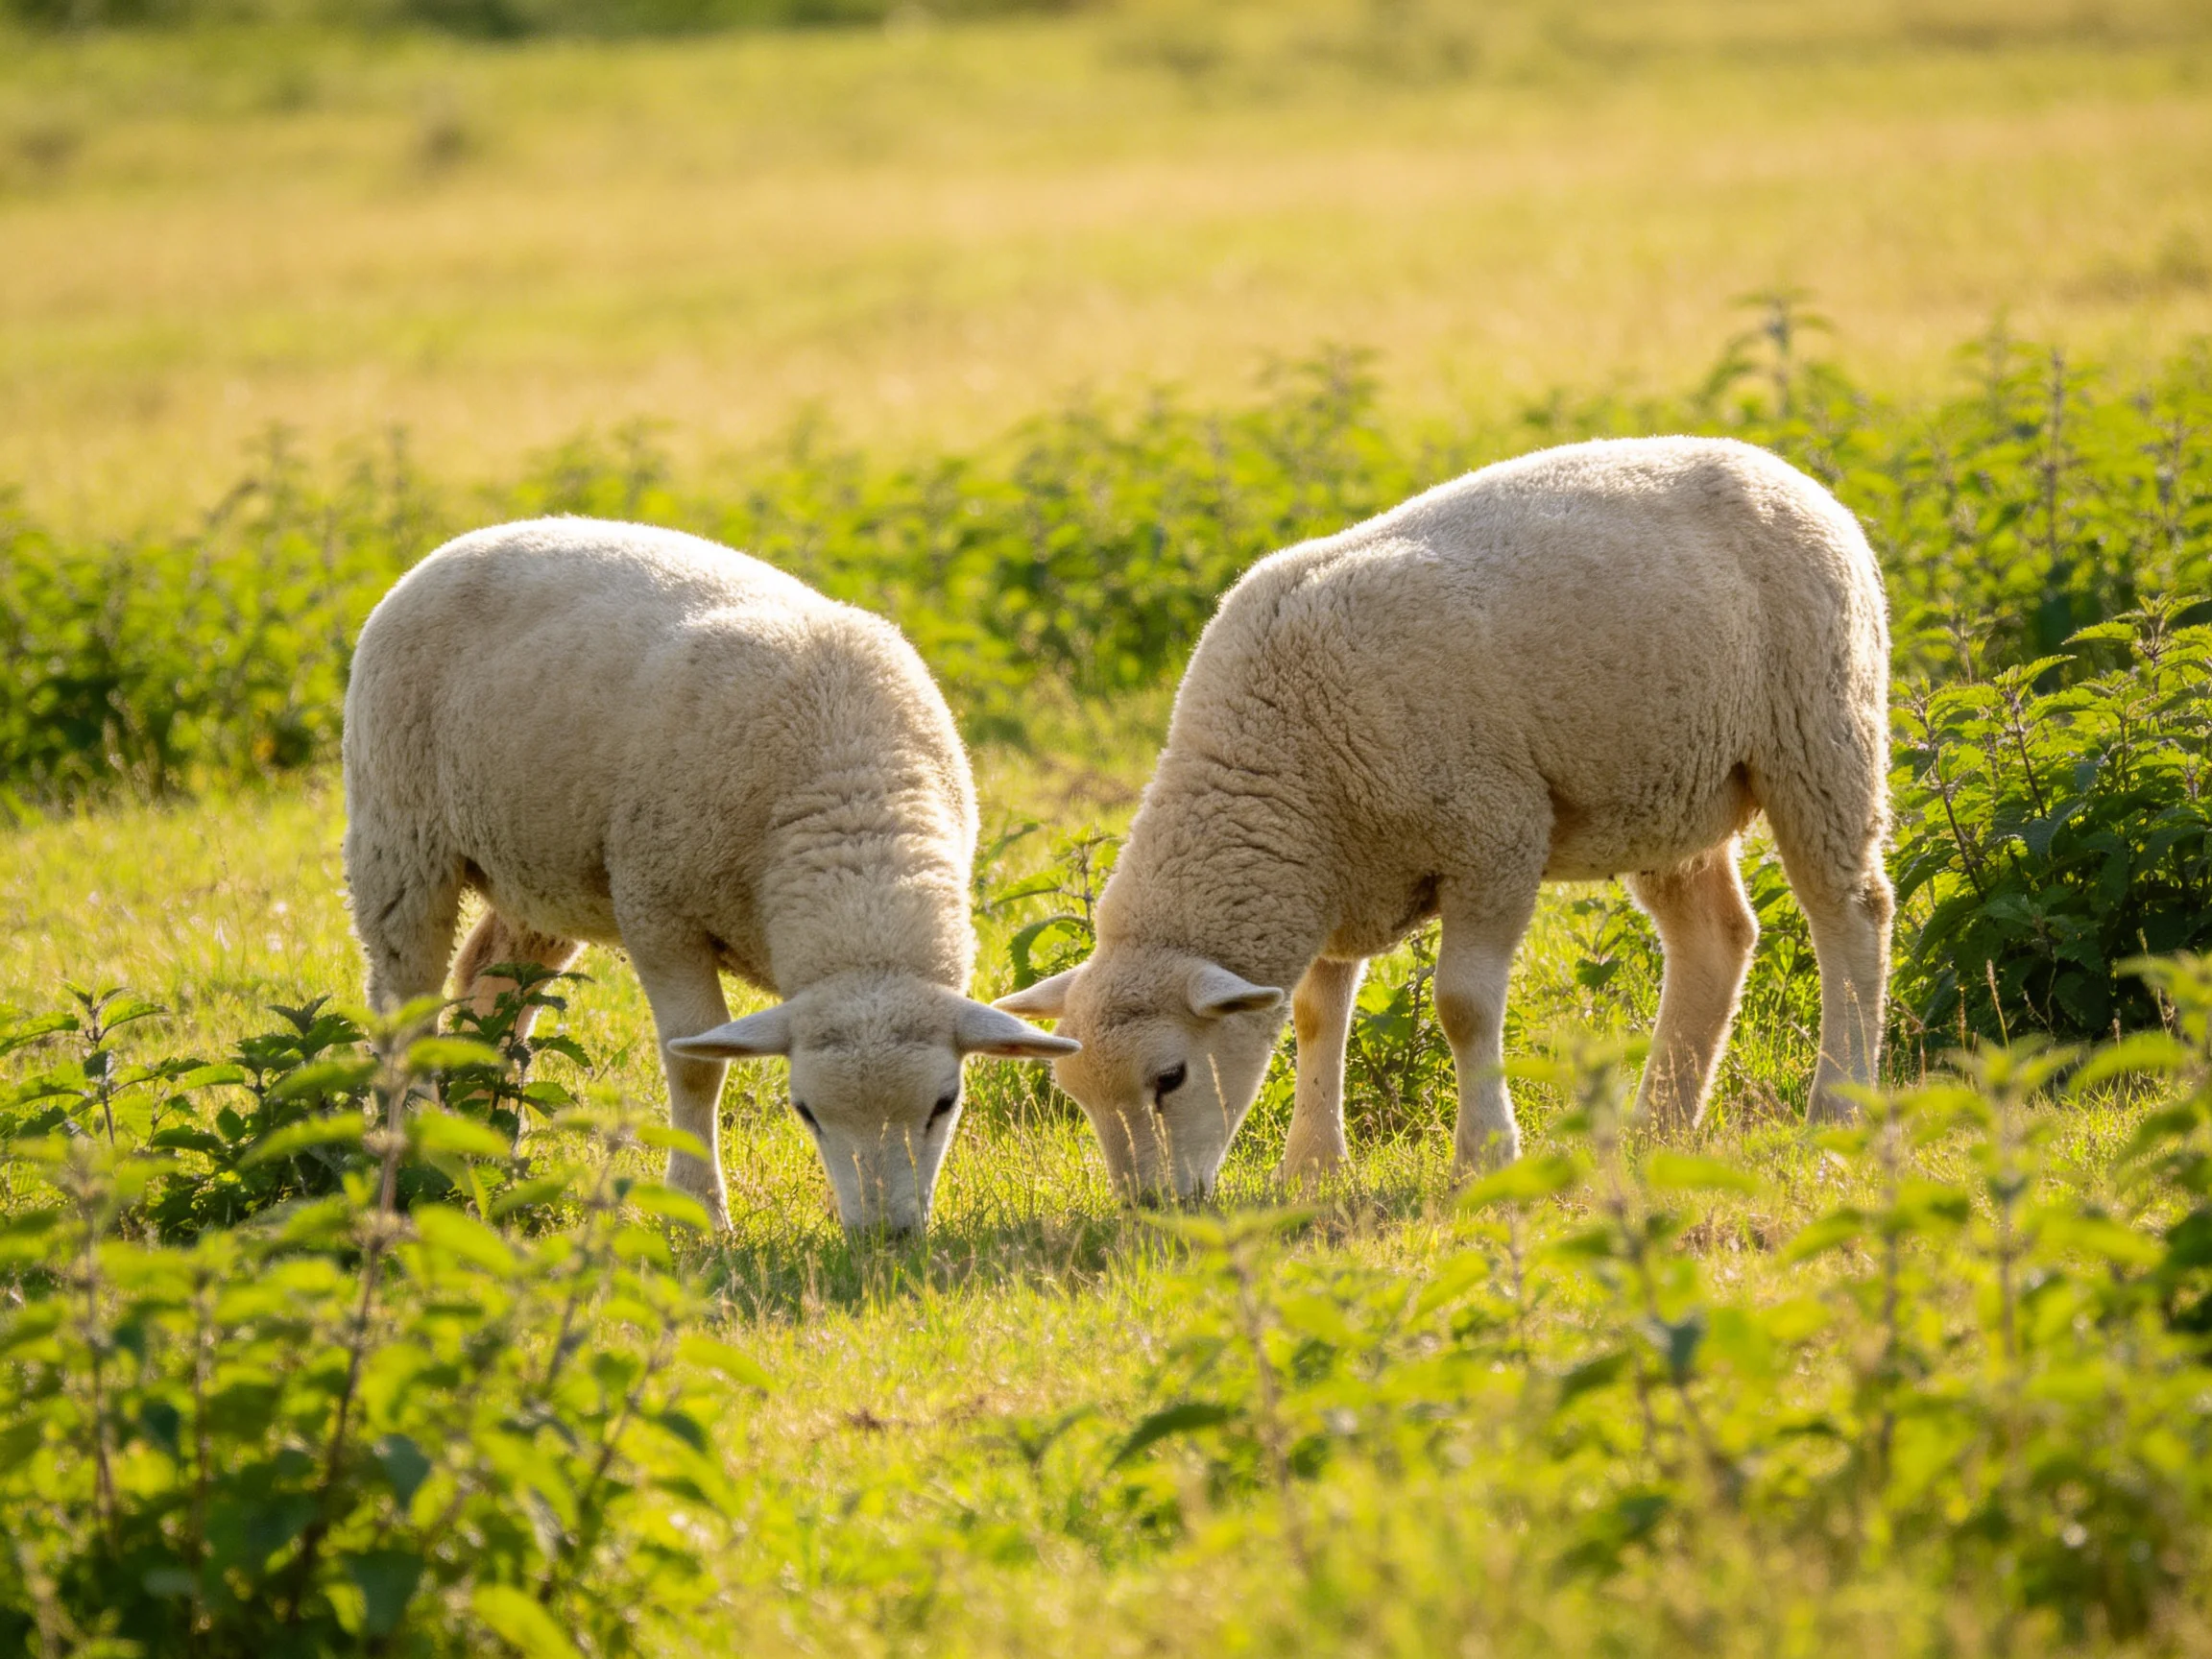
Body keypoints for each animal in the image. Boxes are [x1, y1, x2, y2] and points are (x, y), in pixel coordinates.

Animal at [342, 517, 1076, 1233]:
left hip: (539, 868)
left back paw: (488, 1145)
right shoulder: (658, 914)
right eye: (804, 1111)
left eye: (946, 1103)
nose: (885, 1238)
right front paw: (701, 1211)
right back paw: (418, 1153)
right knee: (404, 1003)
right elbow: (696, 1065)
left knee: (494, 991)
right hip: (399, 835)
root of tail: (475, 536)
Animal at [995, 436, 1893, 1202]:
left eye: (1170, 1079)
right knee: (1714, 939)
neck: (1282, 762)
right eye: (1075, 1095)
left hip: (1818, 728)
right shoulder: (1336, 879)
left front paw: (1486, 1156)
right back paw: (1658, 1123)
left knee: (1850, 911)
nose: (1148, 1208)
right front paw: (1312, 1169)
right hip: (1667, 786)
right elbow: (1316, 1018)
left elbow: (1462, 1006)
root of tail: (1782, 467)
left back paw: (1839, 1103)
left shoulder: (1496, 835)